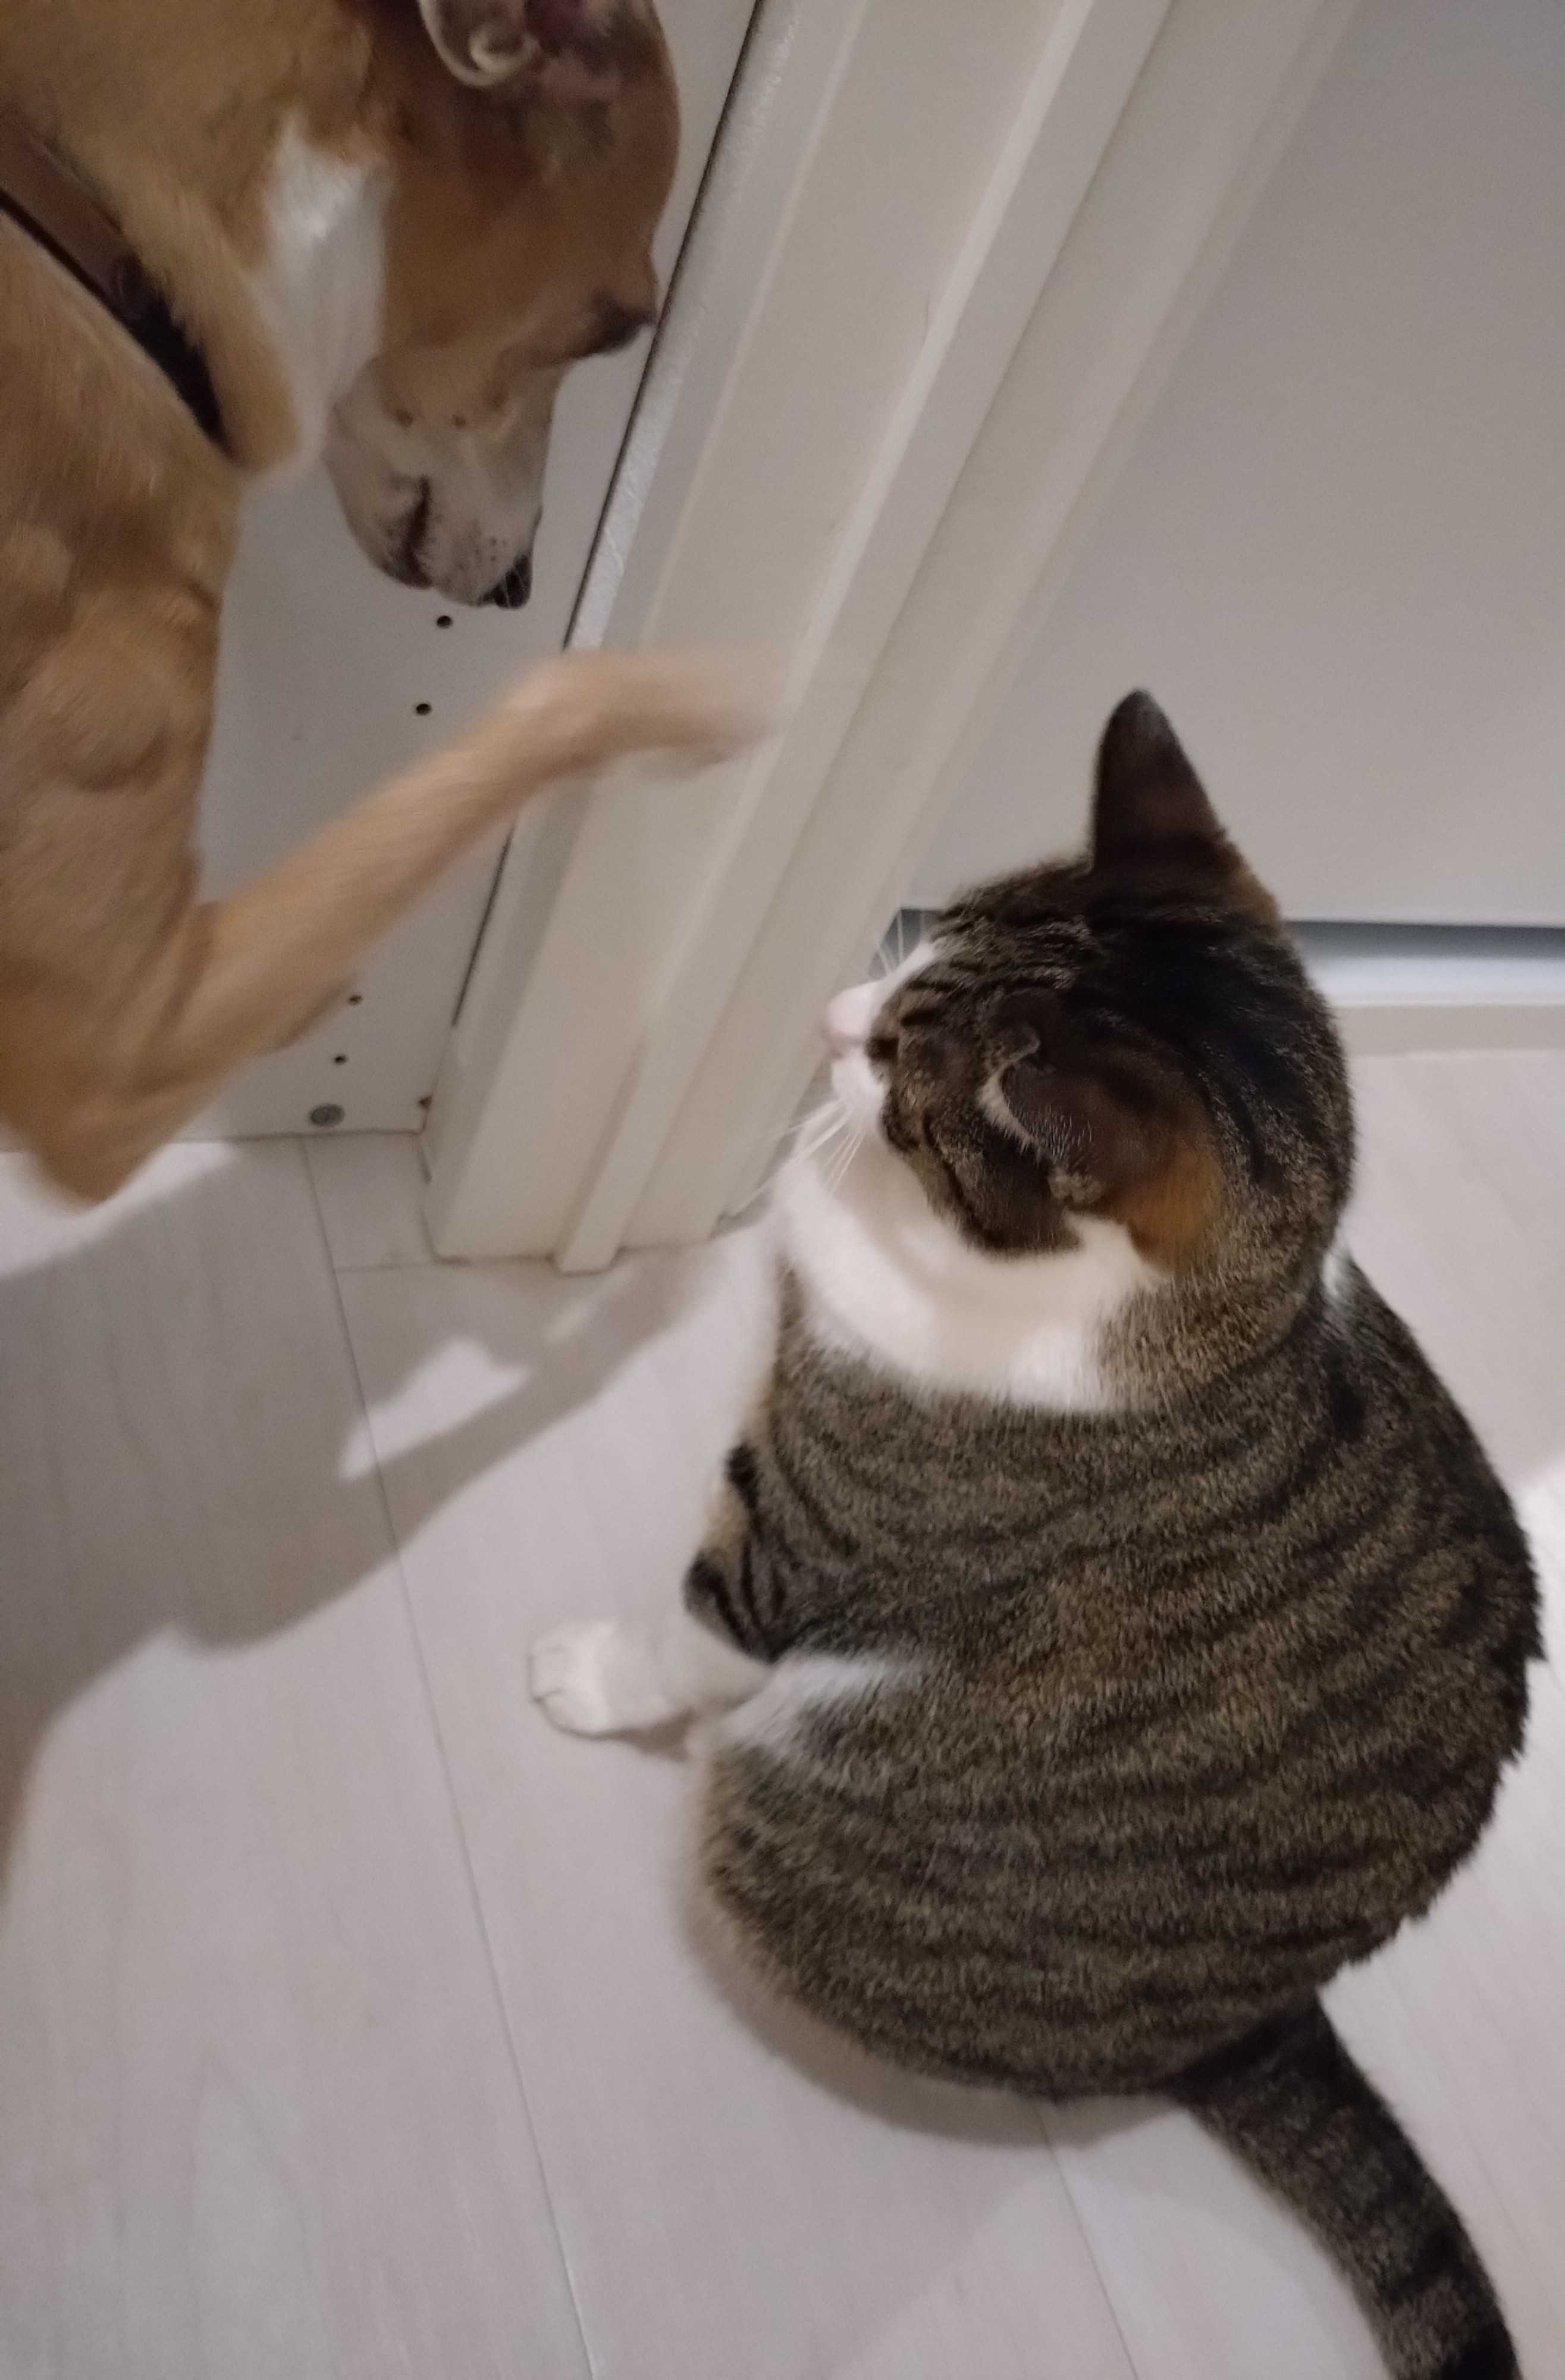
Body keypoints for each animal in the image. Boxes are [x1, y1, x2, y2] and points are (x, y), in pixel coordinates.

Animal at [531, 692, 1539, 2380]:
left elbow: (690, 1625)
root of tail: (1255, 2018)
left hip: (787, 1816)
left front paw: (586, 1675)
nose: (825, 1014)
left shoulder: (811, 1528)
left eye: (894, 1060)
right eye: (915, 940)